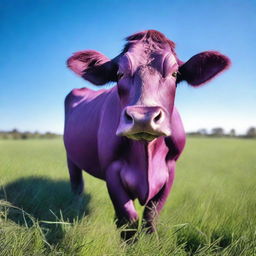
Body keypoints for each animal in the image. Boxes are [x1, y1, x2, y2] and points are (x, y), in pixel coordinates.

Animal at [64, 29, 230, 234]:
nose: (143, 117)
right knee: (77, 185)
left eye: (175, 73)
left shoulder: (170, 170)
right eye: (119, 73)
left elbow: (150, 217)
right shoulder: (111, 170)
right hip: (71, 158)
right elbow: (128, 220)